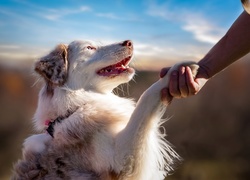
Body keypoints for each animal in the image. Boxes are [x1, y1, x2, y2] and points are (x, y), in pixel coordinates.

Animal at [12, 40, 199, 179]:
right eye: (90, 48)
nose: (129, 42)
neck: (73, 109)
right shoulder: (122, 160)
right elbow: (146, 98)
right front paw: (179, 70)